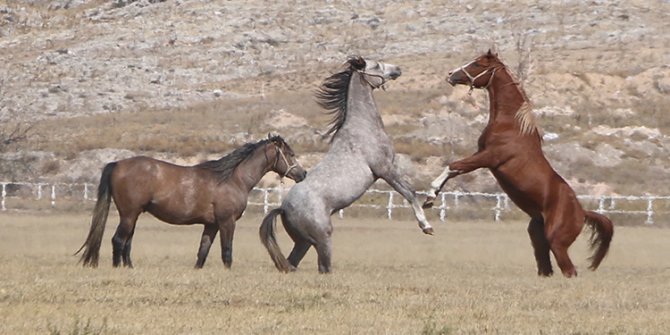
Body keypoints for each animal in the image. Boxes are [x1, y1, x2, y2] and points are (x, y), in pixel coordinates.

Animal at [77, 135, 308, 270]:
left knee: (126, 243)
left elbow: (203, 251)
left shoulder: (211, 225)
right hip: (129, 214)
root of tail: (117, 164)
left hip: (133, 216)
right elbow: (227, 251)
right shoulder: (227, 222)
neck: (232, 179)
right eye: (290, 153)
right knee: (118, 240)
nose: (303, 173)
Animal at [258, 56, 436, 274]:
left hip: (303, 243)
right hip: (322, 239)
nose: (398, 69)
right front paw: (426, 226)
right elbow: (410, 192)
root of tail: (283, 208)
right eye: (376, 65)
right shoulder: (384, 169)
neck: (362, 128)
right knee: (323, 267)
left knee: (292, 264)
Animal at [426, 51, 616, 278]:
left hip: (557, 242)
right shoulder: (481, 155)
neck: (512, 125)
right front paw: (431, 197)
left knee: (569, 271)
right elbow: (454, 169)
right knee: (546, 269)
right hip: (538, 237)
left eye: (477, 64)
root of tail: (582, 212)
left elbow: (453, 166)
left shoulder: (488, 158)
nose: (451, 75)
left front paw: (429, 196)